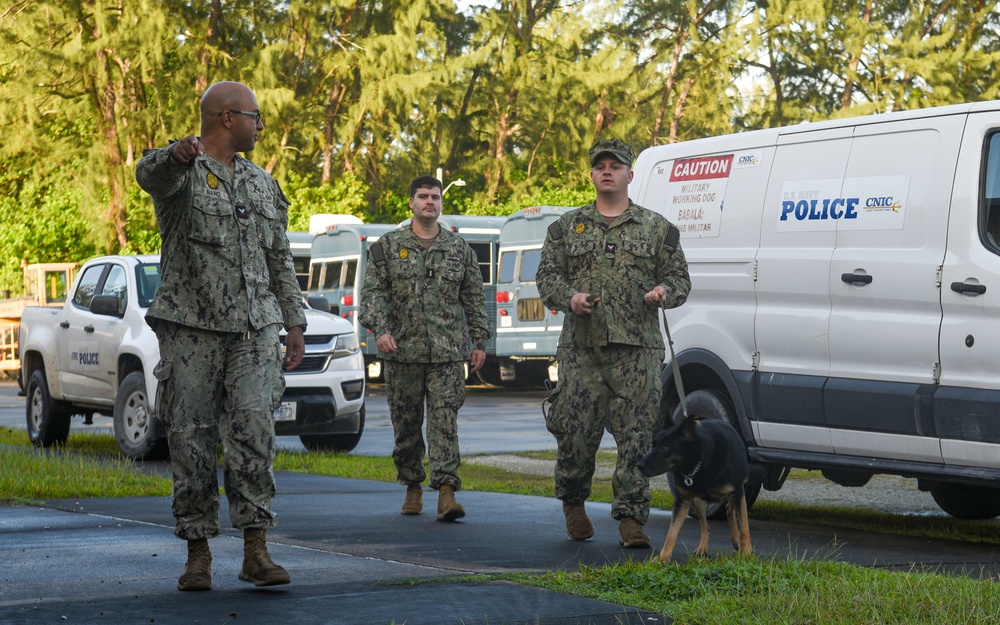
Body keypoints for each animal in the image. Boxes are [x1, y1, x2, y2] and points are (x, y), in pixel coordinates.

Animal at [640, 412, 752, 564]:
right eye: (653, 445)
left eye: (664, 448)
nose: (639, 465)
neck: (701, 463)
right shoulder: (683, 501)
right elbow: (672, 533)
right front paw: (663, 557)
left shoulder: (738, 492)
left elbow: (744, 527)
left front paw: (747, 552)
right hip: (698, 502)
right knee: (706, 526)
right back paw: (703, 548)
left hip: (733, 495)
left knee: (730, 511)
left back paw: (737, 541)